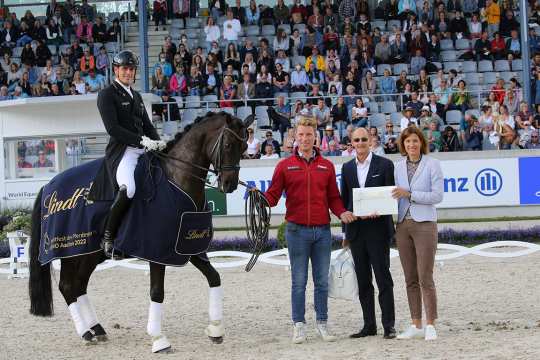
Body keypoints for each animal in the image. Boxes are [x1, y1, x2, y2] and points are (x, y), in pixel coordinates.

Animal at [29, 112, 255, 352]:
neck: (176, 179)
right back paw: (86, 332)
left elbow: (214, 277)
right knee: (67, 286)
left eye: (244, 148)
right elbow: (157, 292)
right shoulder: (156, 250)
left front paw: (215, 330)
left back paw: (97, 330)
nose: (229, 184)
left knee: (78, 285)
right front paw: (159, 340)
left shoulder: (189, 246)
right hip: (71, 250)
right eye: (228, 145)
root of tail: (48, 185)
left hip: (88, 254)